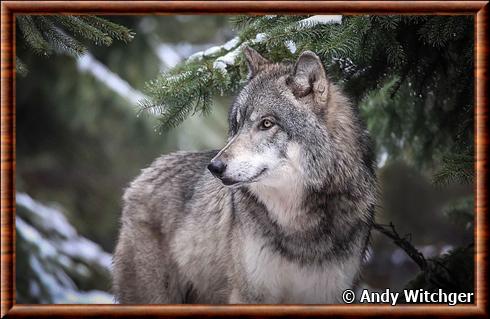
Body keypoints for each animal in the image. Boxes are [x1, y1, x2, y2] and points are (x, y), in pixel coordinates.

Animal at [113, 47, 378, 304]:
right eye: (237, 124)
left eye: (267, 123)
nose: (215, 167)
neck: (299, 227)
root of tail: (145, 173)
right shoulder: (250, 294)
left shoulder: (328, 293)